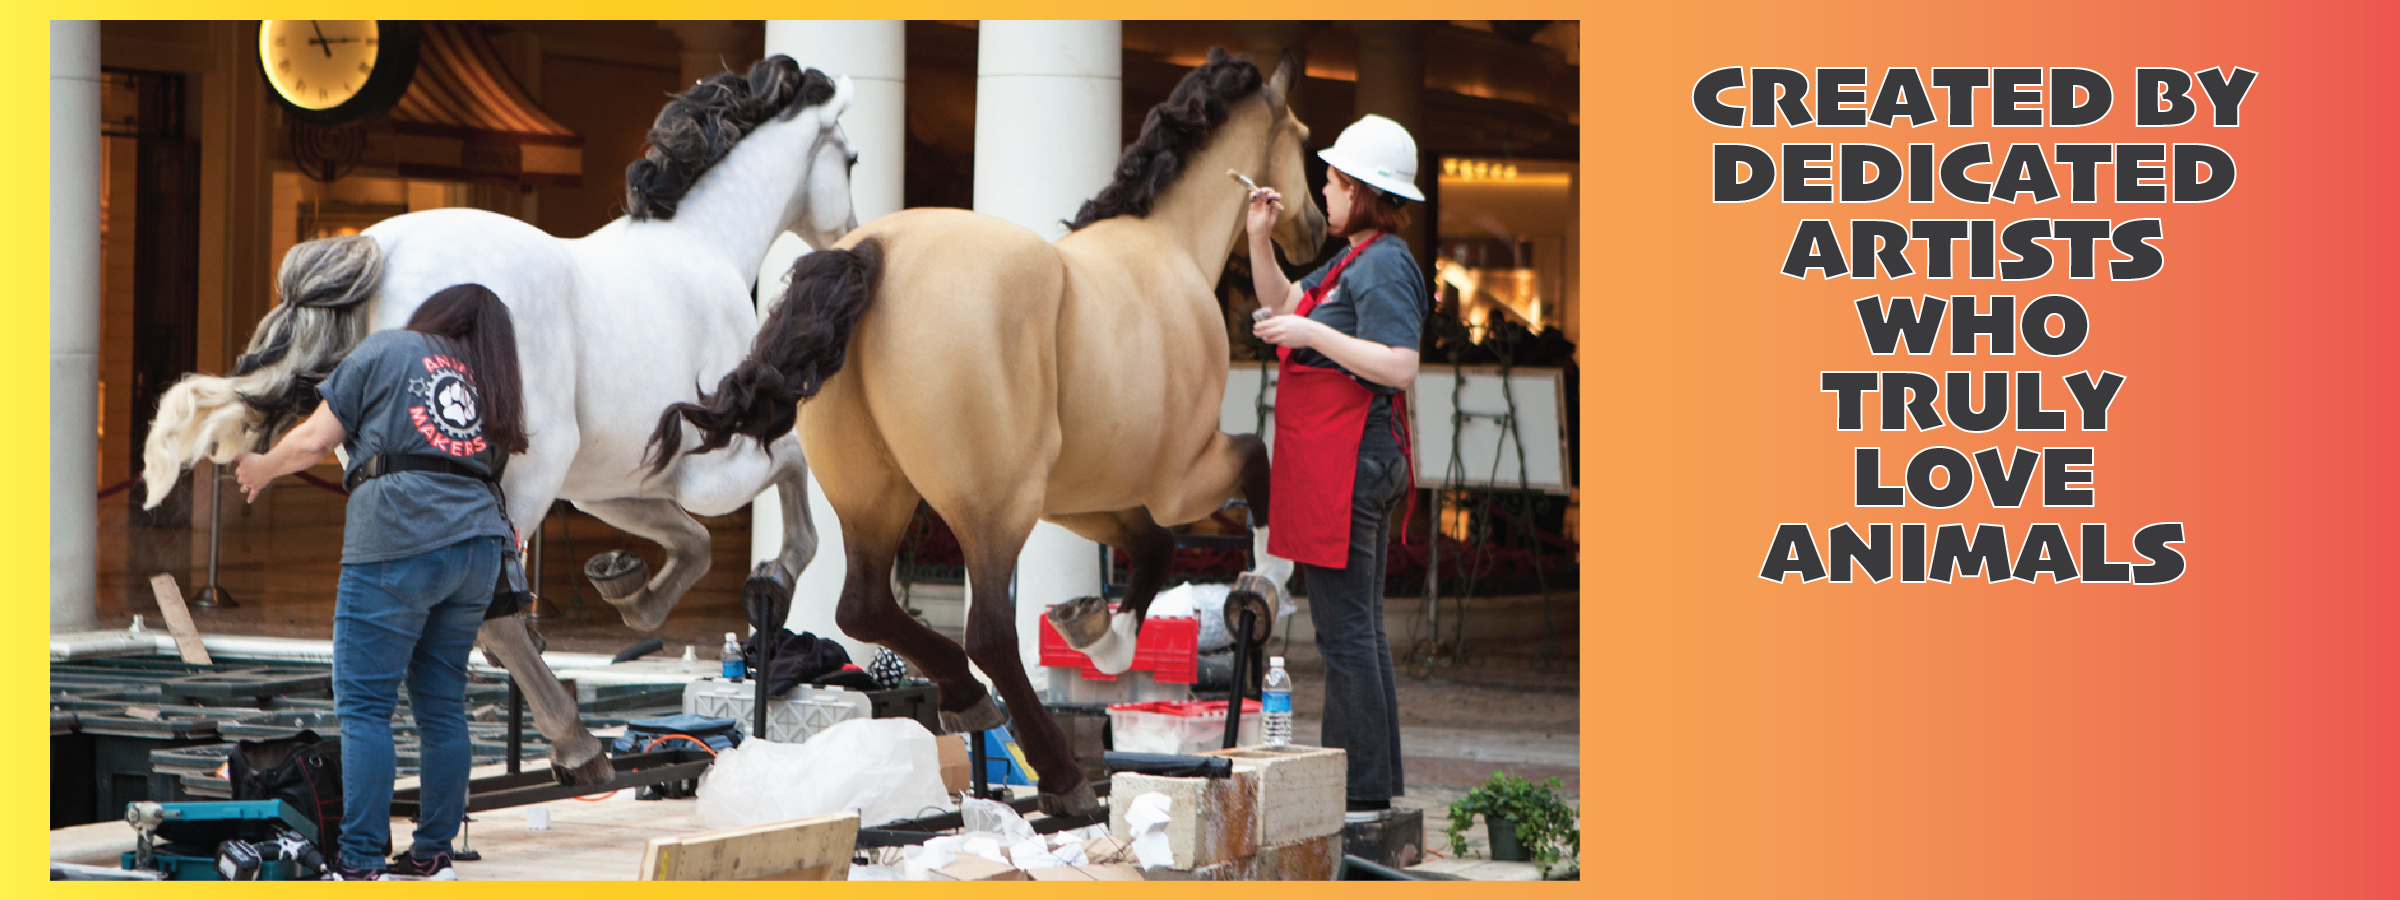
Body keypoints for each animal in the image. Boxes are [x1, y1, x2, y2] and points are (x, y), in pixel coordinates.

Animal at [137, 56, 860, 786]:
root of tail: (375, 250)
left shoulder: (611, 486)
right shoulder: (716, 469)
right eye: (852, 159)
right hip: (520, 482)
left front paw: (626, 586)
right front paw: (772, 576)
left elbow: (693, 543)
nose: (851, 232)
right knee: (491, 618)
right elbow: (795, 478)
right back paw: (579, 748)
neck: (700, 249)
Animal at [649, 49, 1325, 816]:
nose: (1316, 231)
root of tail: (873, 250)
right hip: (992, 509)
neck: (1169, 246)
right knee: (990, 633)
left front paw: (1096, 629)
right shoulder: (1181, 479)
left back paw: (968, 699)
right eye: (1305, 140)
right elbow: (1250, 471)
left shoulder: (1083, 497)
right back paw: (1059, 775)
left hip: (880, 496)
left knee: (866, 606)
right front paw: (1264, 580)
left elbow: (1152, 547)